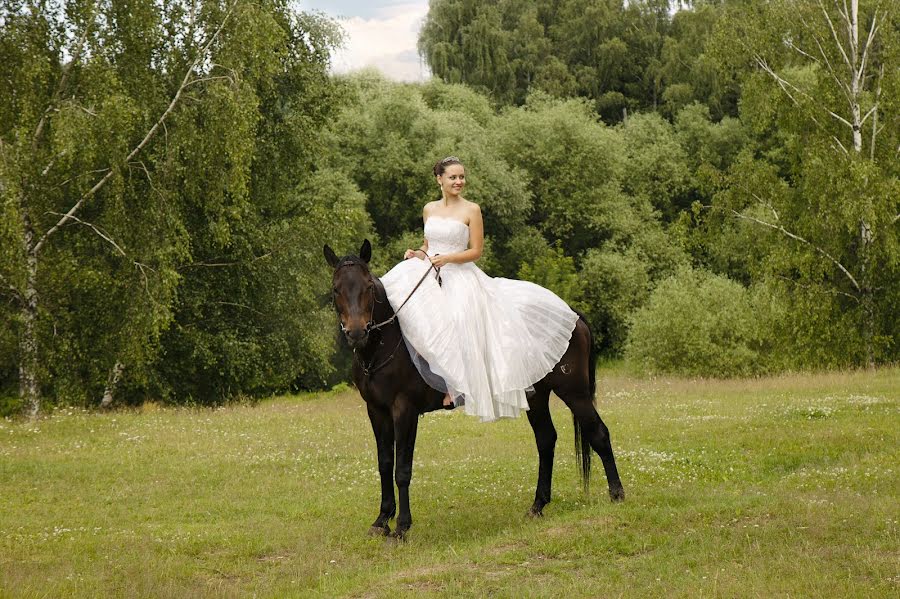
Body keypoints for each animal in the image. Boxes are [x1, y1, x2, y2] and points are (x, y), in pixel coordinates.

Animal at [324, 241, 624, 540]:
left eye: (368, 287)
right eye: (336, 288)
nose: (356, 332)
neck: (384, 344)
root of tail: (572, 314)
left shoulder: (404, 410)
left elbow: (402, 469)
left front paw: (401, 527)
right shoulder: (376, 410)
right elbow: (385, 463)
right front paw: (382, 519)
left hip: (574, 392)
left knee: (598, 433)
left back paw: (617, 495)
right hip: (537, 395)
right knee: (546, 440)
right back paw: (537, 505)